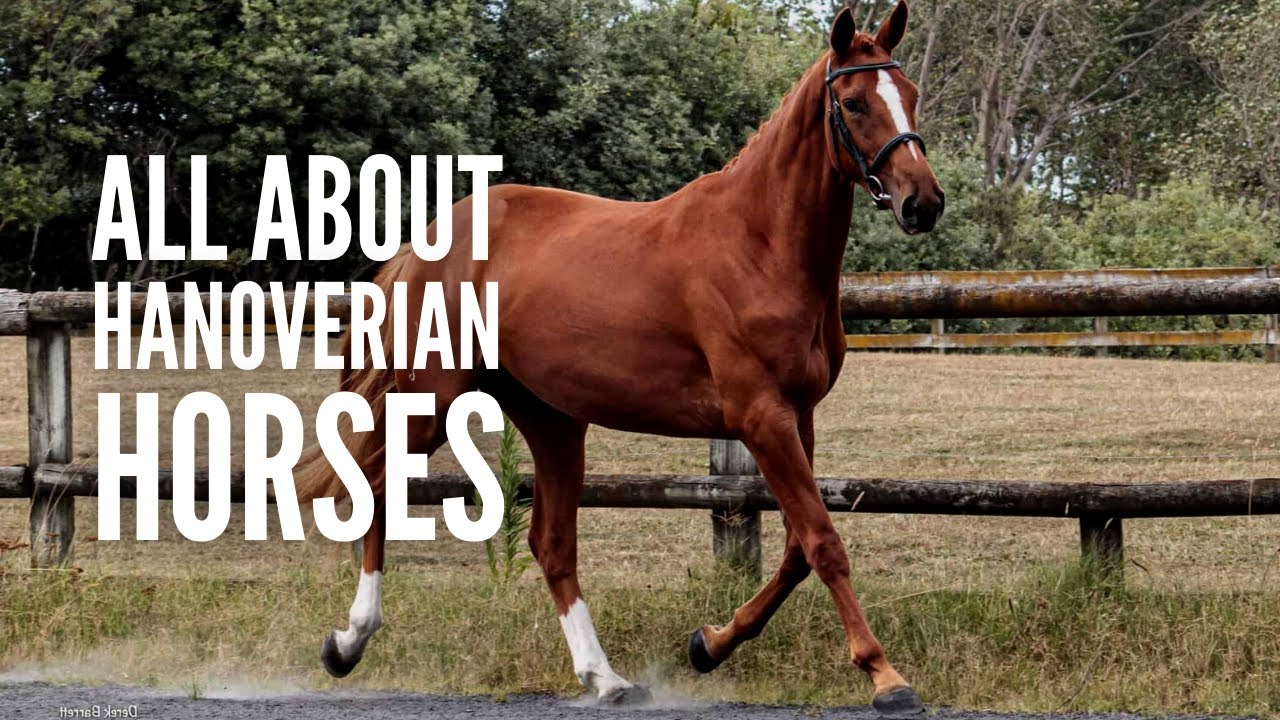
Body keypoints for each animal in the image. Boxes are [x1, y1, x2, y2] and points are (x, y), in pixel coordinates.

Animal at [294, 2, 944, 715]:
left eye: (909, 94)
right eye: (853, 103)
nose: (923, 203)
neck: (762, 245)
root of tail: (432, 239)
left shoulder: (797, 418)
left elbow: (797, 551)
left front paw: (709, 644)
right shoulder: (761, 418)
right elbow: (824, 544)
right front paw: (885, 677)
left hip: (552, 419)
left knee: (551, 544)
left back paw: (605, 678)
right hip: (429, 399)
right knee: (378, 493)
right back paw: (346, 644)